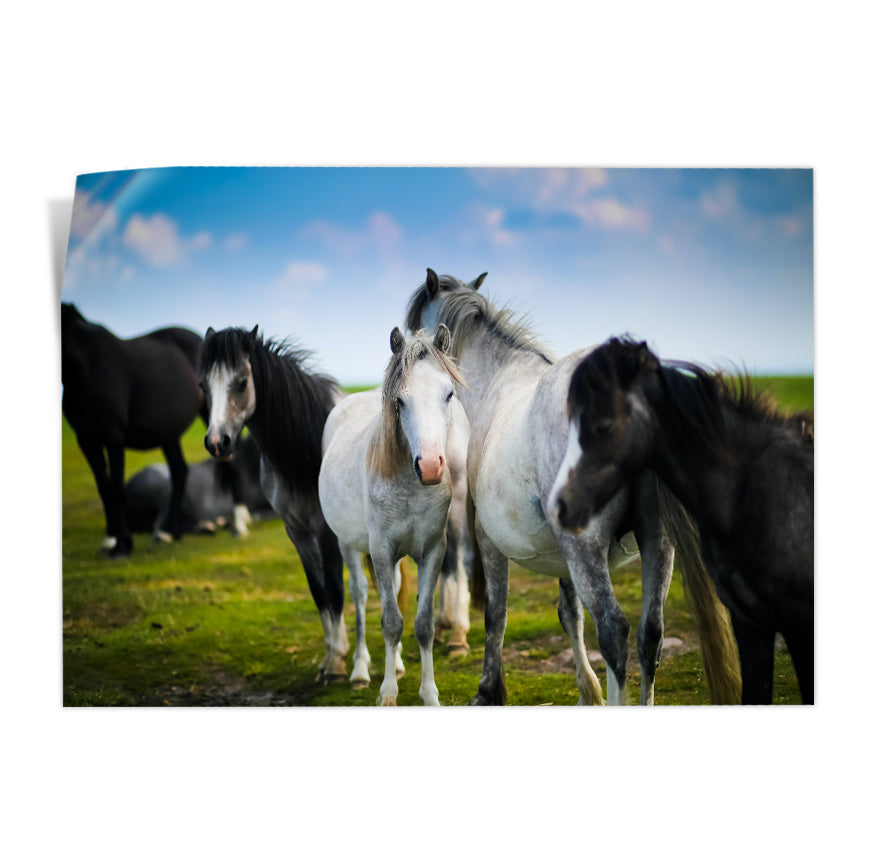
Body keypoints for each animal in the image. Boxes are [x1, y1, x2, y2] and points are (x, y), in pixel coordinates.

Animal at [62, 303, 219, 557]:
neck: (86, 366)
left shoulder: (113, 436)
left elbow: (117, 489)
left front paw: (122, 545)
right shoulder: (86, 439)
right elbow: (104, 488)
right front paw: (110, 539)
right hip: (168, 434)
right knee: (179, 470)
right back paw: (170, 532)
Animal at [199, 325, 350, 684]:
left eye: (242, 382)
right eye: (202, 386)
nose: (217, 443)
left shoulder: (326, 532)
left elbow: (335, 589)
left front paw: (337, 664)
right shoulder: (297, 532)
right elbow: (319, 591)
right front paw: (329, 658)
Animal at [318, 324, 467, 705]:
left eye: (448, 394)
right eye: (400, 401)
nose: (430, 467)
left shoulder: (432, 551)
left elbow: (423, 624)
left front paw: (430, 695)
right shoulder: (382, 552)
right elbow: (390, 622)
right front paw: (387, 695)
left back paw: (397, 664)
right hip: (349, 545)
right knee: (359, 596)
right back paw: (358, 671)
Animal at [406, 270, 741, 705]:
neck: (499, 381)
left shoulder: (490, 539)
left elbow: (496, 614)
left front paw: (488, 690)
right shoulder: (561, 553)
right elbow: (570, 614)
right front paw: (587, 692)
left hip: (587, 548)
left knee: (614, 630)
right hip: (656, 542)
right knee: (651, 633)